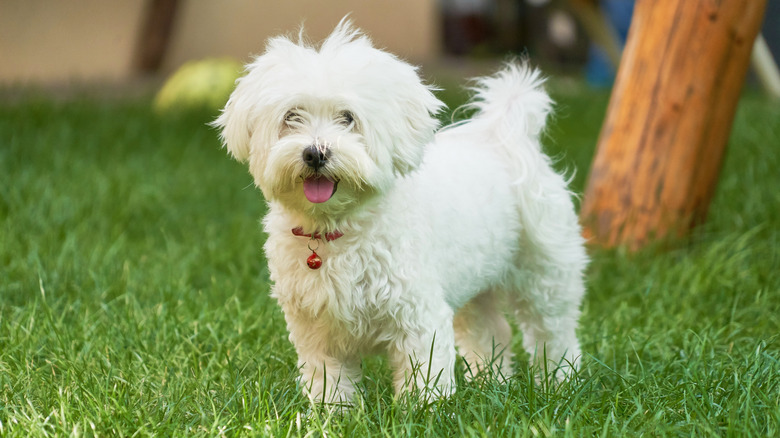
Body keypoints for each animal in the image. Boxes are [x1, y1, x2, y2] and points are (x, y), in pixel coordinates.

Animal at [212, 19, 584, 404]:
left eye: (348, 117)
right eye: (291, 117)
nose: (315, 153)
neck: (339, 228)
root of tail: (503, 136)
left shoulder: (418, 316)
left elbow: (425, 376)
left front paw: (425, 410)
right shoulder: (316, 329)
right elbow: (330, 380)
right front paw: (335, 412)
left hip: (545, 272)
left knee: (553, 332)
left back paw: (559, 383)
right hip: (475, 282)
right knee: (490, 331)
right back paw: (491, 382)